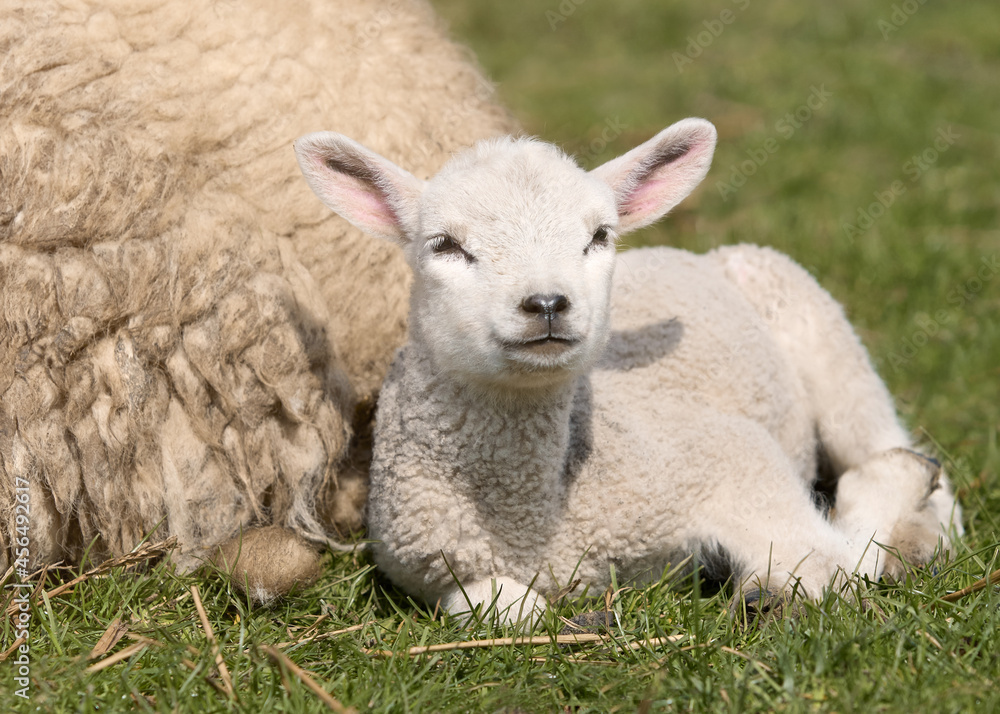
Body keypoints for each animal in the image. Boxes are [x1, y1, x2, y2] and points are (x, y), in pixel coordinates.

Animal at [293, 117, 964, 621]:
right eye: (445, 245)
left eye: (599, 235)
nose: (547, 303)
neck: (534, 514)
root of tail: (697, 254)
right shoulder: (429, 563)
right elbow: (504, 608)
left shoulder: (732, 456)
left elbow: (829, 567)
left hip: (821, 332)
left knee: (884, 442)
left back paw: (919, 518)